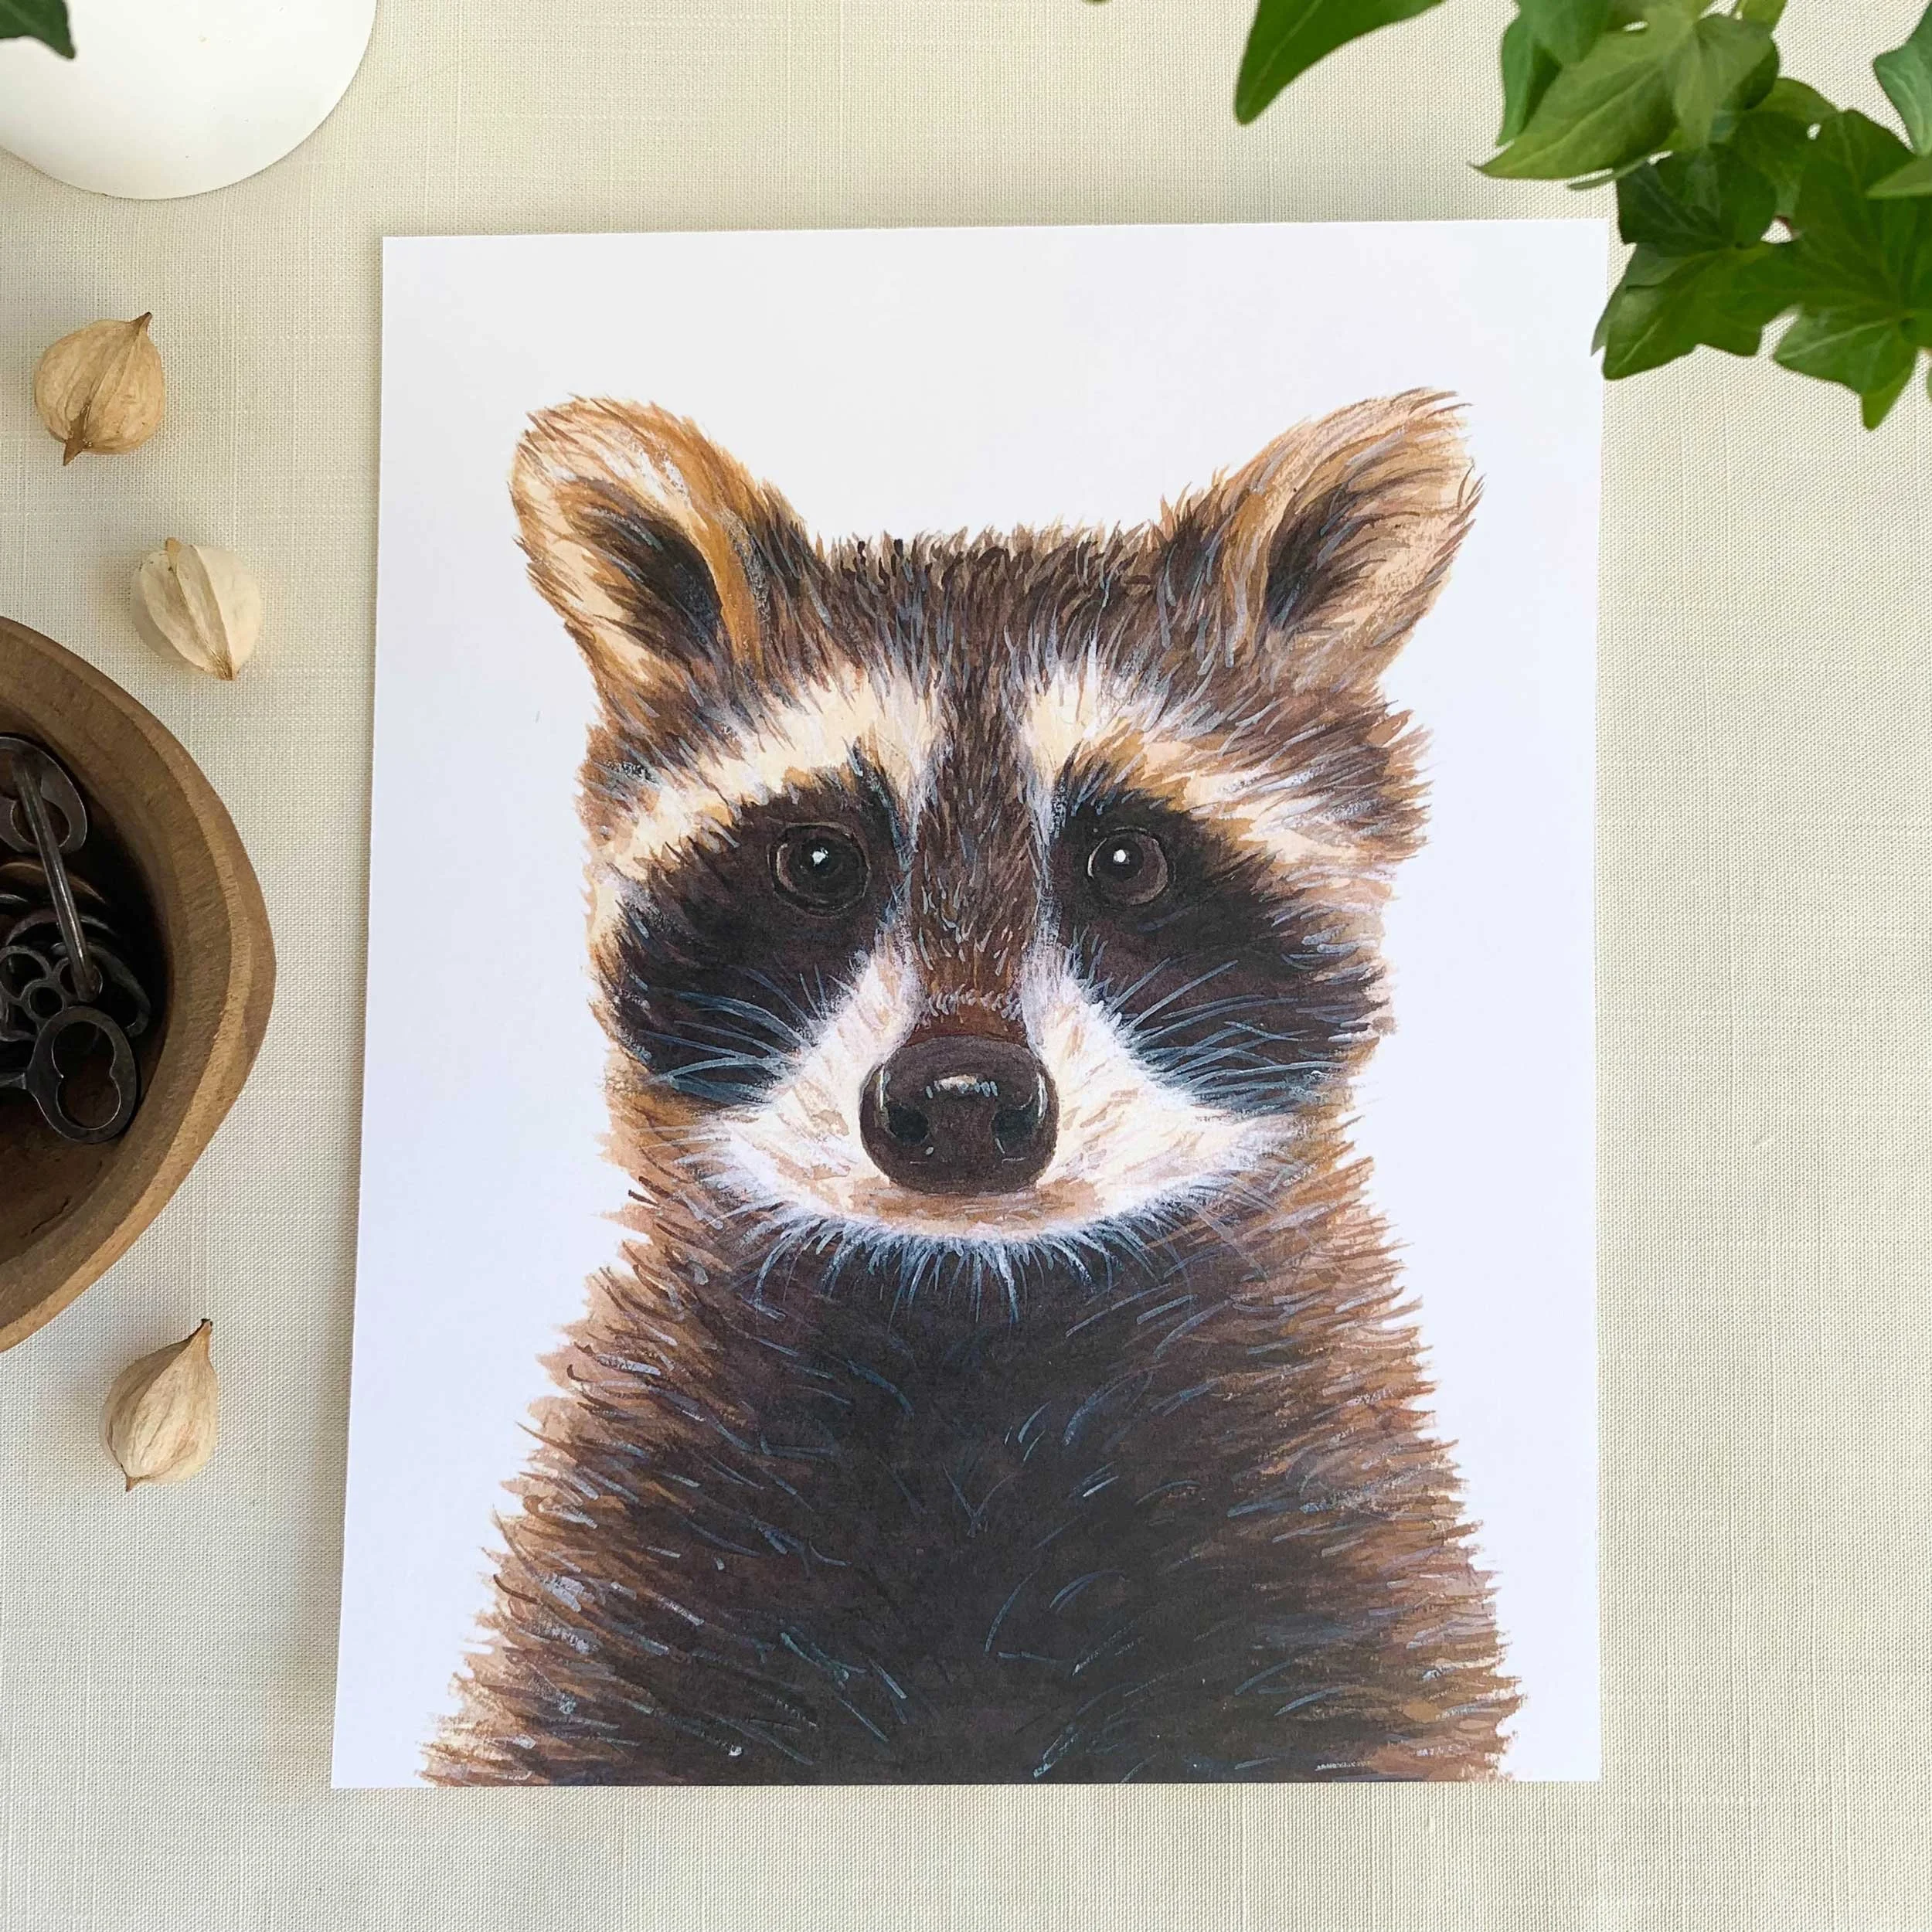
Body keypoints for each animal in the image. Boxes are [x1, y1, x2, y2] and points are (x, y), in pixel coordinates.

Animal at [425, 390, 1519, 1785]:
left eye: (1126, 859)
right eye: (818, 860)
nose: (958, 1102)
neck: (973, 1314)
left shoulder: (1343, 1573)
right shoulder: (621, 1586)